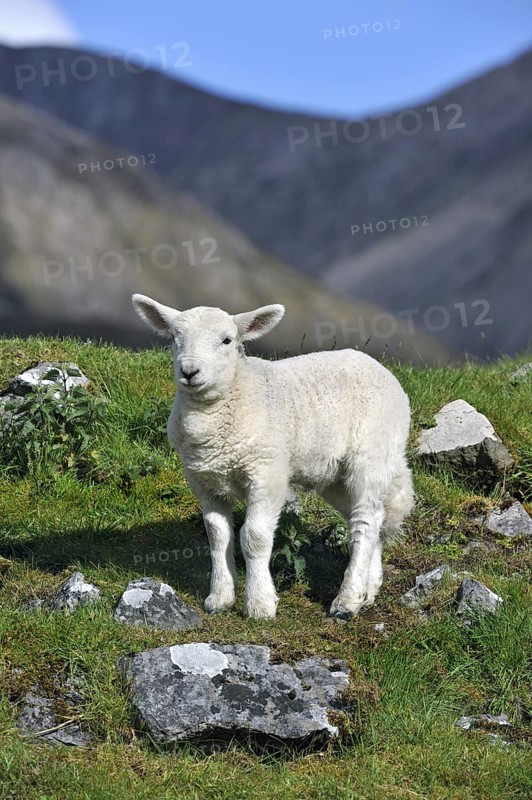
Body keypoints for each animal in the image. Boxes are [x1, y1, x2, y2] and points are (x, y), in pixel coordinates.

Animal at [132, 294, 414, 619]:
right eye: (174, 339)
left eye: (227, 340)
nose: (189, 372)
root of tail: (380, 368)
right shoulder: (204, 481)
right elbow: (217, 536)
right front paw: (220, 597)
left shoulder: (267, 474)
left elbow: (254, 537)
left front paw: (260, 604)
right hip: (335, 475)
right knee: (372, 516)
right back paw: (369, 589)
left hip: (372, 453)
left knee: (365, 521)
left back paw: (347, 601)